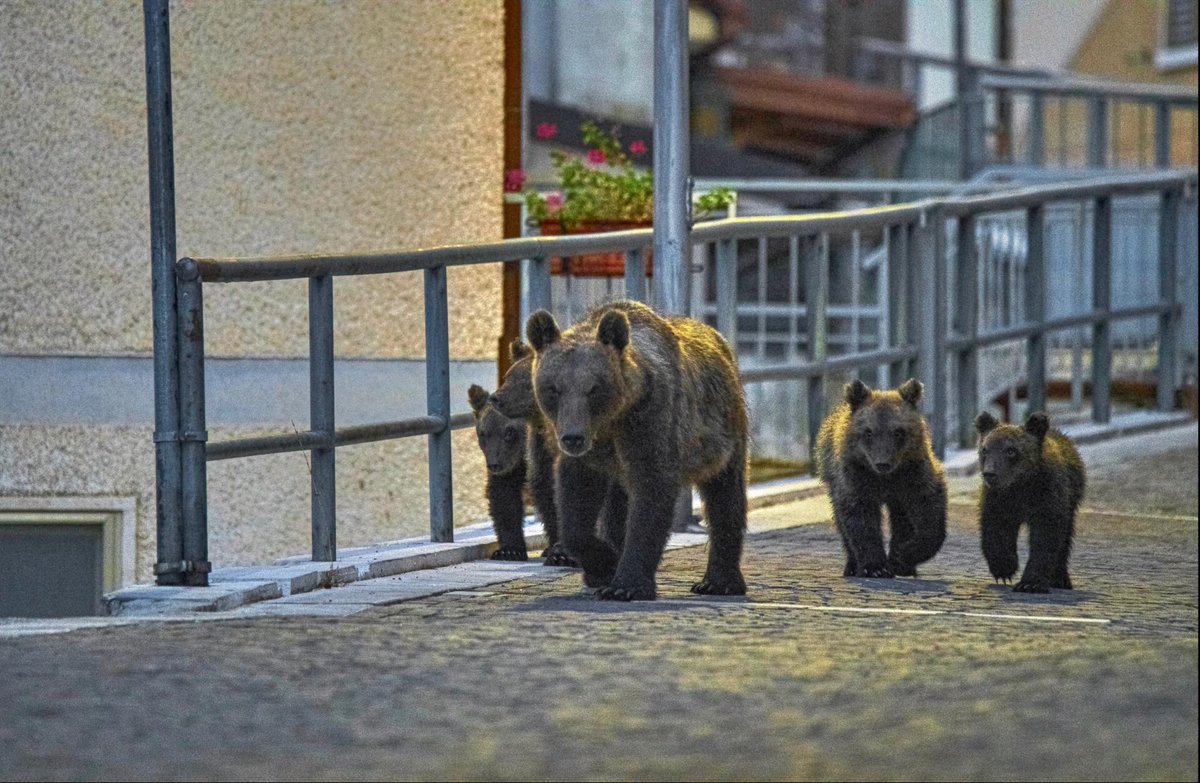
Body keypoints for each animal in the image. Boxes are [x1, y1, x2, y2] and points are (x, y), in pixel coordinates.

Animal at [528, 300, 748, 600]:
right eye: (554, 388)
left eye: (593, 388)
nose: (572, 438)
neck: (612, 419)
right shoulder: (591, 451)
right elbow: (575, 508)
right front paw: (604, 565)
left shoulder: (649, 419)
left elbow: (651, 493)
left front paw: (625, 585)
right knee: (617, 504)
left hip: (723, 432)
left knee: (725, 494)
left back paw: (718, 582)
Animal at [816, 381, 945, 578]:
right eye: (868, 432)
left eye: (898, 431)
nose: (882, 463)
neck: (885, 478)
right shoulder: (856, 476)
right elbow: (860, 518)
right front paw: (875, 567)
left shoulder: (913, 473)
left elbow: (929, 507)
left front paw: (905, 553)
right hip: (831, 476)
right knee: (840, 520)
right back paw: (852, 565)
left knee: (901, 519)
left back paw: (902, 565)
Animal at [974, 413, 1089, 590]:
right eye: (985, 449)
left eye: (1011, 450)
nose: (990, 473)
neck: (1020, 485)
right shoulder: (998, 499)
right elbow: (996, 529)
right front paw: (1004, 568)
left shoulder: (1047, 496)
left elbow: (1045, 536)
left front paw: (1030, 583)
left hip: (1071, 499)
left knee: (1065, 538)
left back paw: (1061, 579)